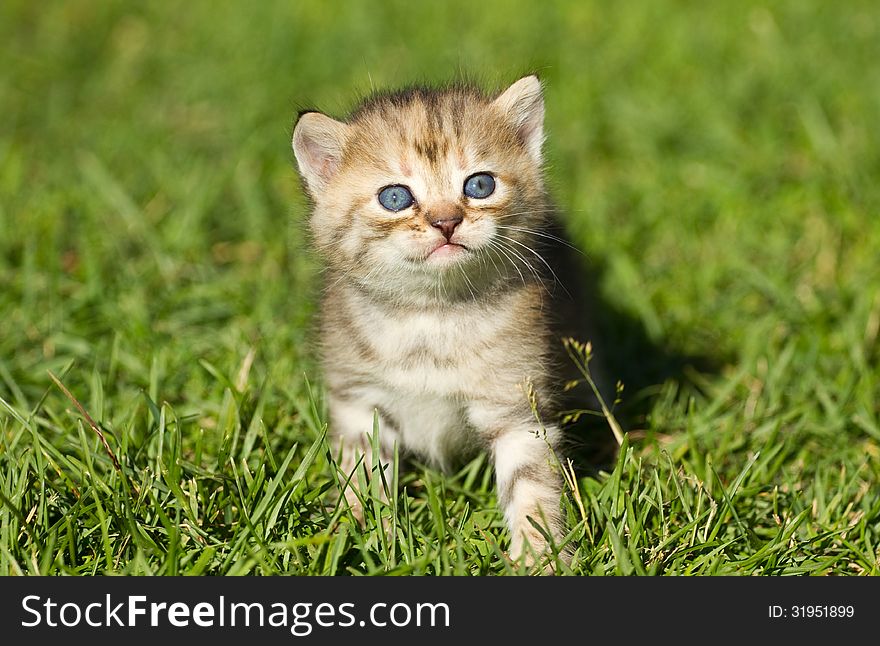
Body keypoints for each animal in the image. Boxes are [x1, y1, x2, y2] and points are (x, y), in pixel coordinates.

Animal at [292, 76, 576, 564]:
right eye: (395, 197)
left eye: (479, 185)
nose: (447, 221)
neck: (432, 315)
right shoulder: (360, 402)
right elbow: (362, 475)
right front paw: (361, 536)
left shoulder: (516, 407)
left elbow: (531, 487)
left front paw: (539, 556)